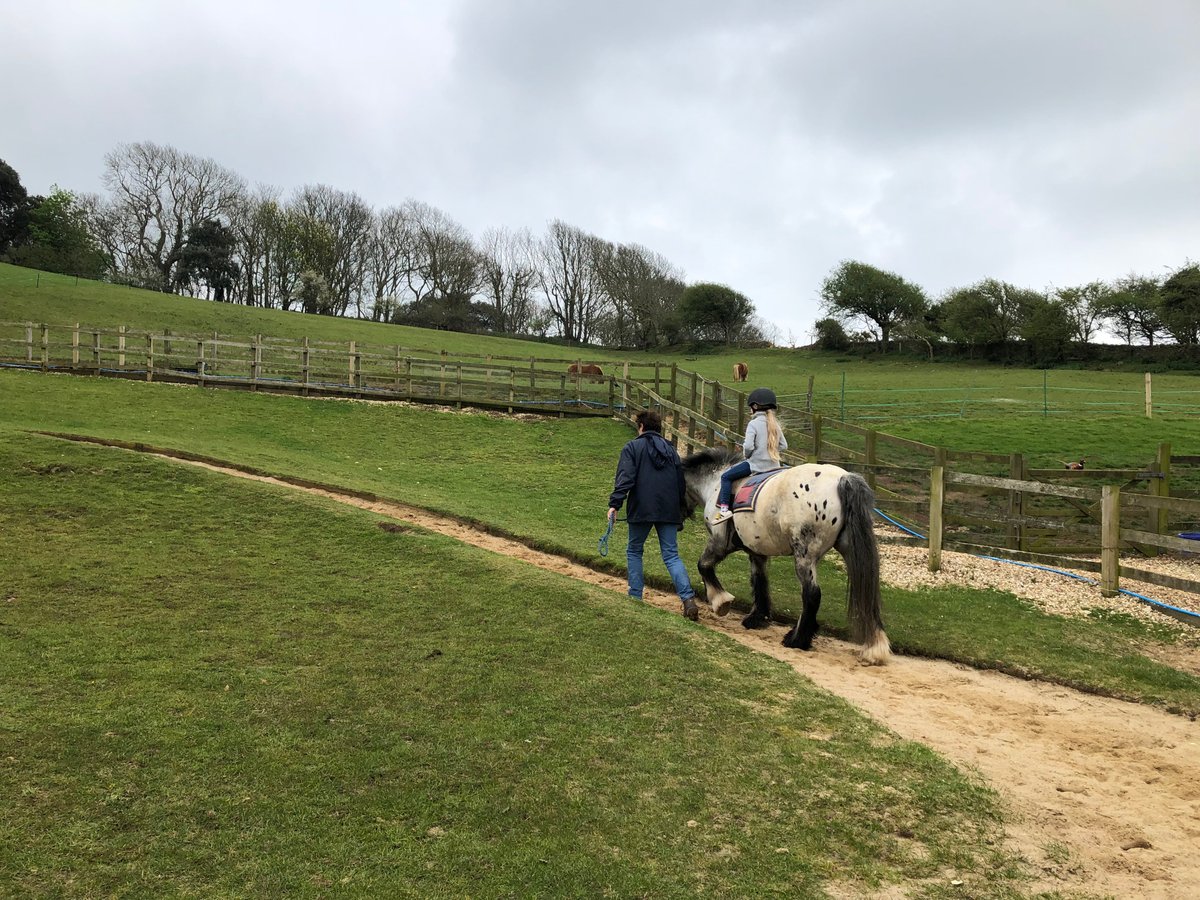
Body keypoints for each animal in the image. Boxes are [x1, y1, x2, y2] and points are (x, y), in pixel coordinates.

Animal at [681, 448, 888, 667]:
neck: (716, 483)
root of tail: (843, 478)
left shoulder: (719, 542)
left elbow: (703, 566)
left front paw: (721, 601)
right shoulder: (757, 552)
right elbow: (760, 581)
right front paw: (758, 618)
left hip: (804, 556)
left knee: (812, 594)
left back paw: (797, 639)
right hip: (851, 551)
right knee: (866, 591)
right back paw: (875, 647)